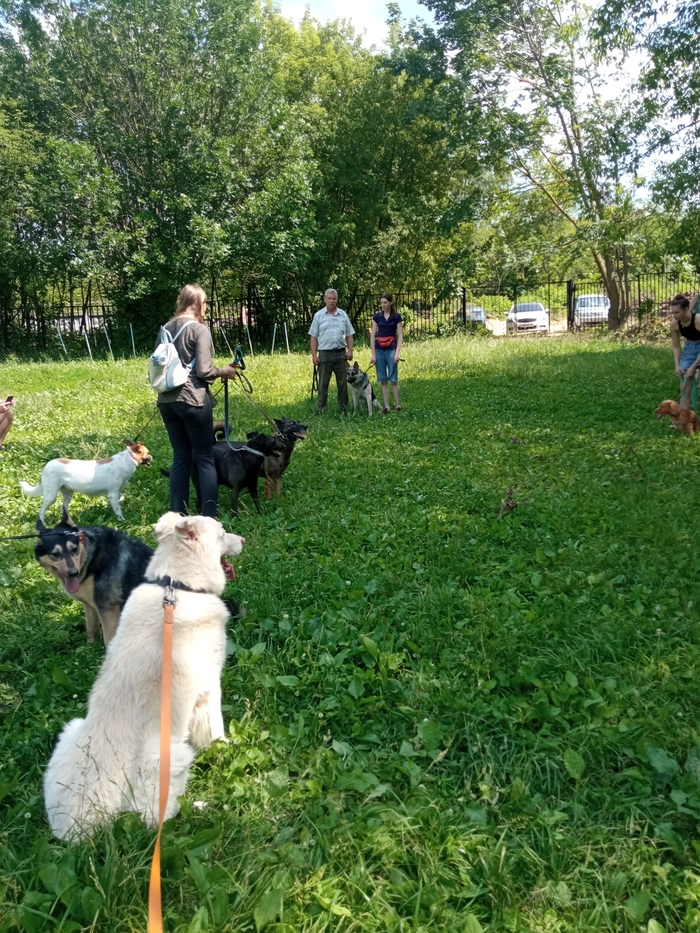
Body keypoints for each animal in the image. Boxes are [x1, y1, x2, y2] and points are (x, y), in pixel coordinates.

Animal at [20, 440, 152, 521]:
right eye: (148, 452)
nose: (152, 457)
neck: (128, 458)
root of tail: (46, 466)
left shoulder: (116, 493)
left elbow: (118, 501)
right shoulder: (113, 493)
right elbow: (118, 510)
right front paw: (121, 520)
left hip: (68, 494)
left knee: (63, 508)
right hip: (50, 496)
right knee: (41, 511)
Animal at [34, 507, 154, 645]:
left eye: (74, 549)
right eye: (55, 554)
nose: (73, 573)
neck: (91, 557)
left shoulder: (107, 609)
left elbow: (108, 639)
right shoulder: (89, 606)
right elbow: (91, 629)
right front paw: (90, 646)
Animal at [43, 512, 245, 840]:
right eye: (222, 532)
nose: (243, 539)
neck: (177, 587)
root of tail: (80, 828)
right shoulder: (209, 687)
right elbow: (215, 729)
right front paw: (225, 747)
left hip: (70, 729)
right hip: (172, 757)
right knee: (157, 820)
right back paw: (201, 807)